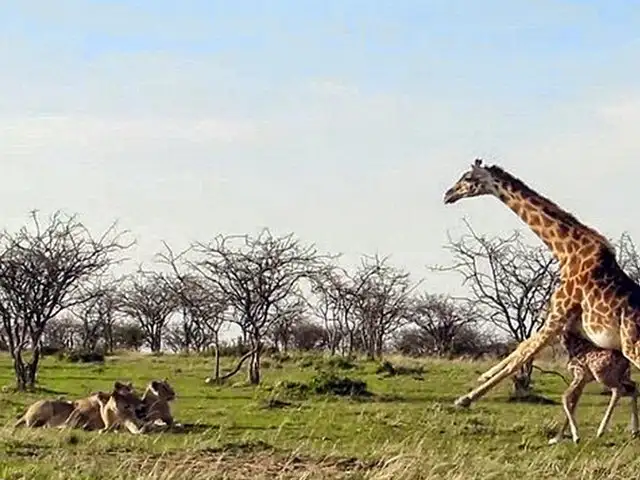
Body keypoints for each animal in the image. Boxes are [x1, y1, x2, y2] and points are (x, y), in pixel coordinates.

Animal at [442, 159, 640, 406]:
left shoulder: (557, 315)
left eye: (468, 178)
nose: (448, 194)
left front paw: (466, 398)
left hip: (633, 347)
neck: (567, 252)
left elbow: (522, 356)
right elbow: (522, 346)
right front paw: (483, 376)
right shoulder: (560, 320)